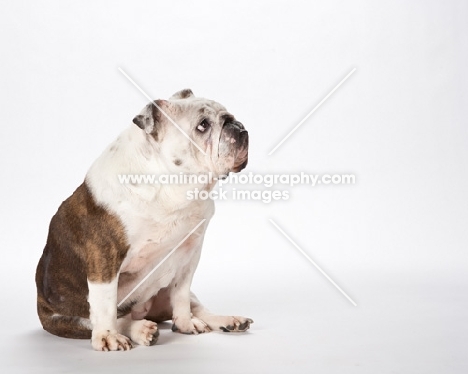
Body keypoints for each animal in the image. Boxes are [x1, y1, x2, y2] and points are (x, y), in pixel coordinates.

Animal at [36, 90, 252, 350]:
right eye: (203, 125)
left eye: (229, 115)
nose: (237, 126)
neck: (174, 186)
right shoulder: (104, 255)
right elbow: (105, 302)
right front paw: (107, 336)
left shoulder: (190, 252)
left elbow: (181, 293)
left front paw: (186, 323)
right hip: (62, 319)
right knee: (108, 319)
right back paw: (140, 330)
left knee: (194, 306)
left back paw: (224, 320)